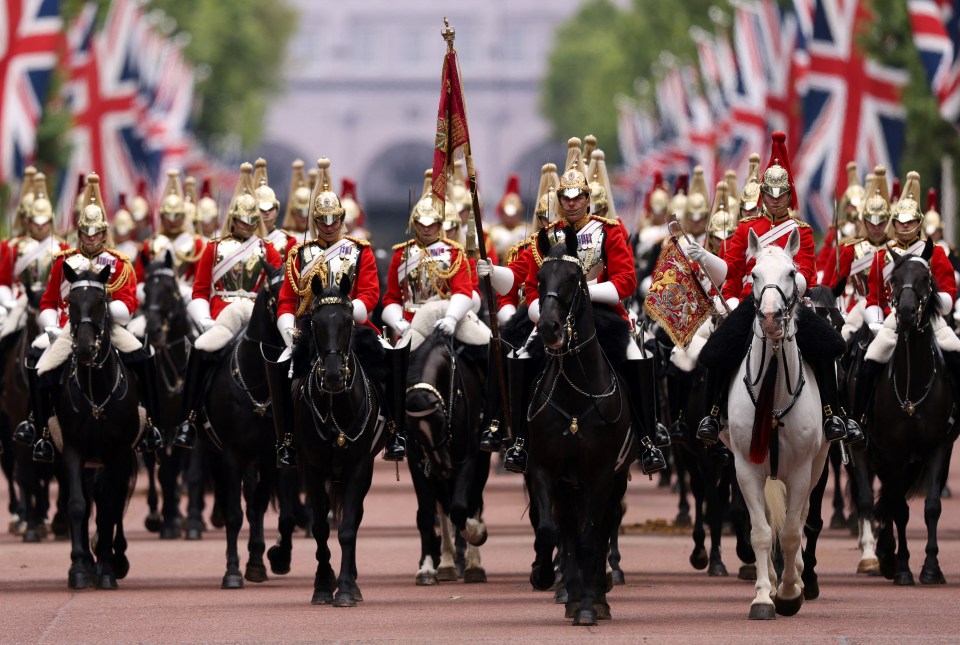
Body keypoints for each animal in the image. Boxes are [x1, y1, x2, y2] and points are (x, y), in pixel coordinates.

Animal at [53, 262, 141, 588]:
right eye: (71, 302)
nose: (85, 349)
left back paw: (115, 558)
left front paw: (105, 567)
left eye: (101, 301)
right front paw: (80, 567)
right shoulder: (71, 450)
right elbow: (78, 505)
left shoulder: (118, 454)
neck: (96, 395)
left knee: (112, 502)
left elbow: (108, 509)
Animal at [278, 276, 386, 604]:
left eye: (349, 321)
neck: (337, 407)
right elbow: (321, 528)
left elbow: (348, 527)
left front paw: (347, 588)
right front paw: (323, 586)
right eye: (315, 322)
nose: (335, 377)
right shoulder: (311, 469)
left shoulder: (357, 467)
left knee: (356, 517)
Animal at [520, 230, 632, 624]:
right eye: (540, 280)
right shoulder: (544, 469)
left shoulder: (601, 473)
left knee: (601, 529)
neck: (575, 394)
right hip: (569, 484)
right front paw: (542, 575)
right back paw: (569, 589)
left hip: (615, 479)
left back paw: (596, 594)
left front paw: (588, 605)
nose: (548, 328)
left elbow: (590, 538)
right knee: (566, 528)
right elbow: (549, 530)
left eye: (573, 279)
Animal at [724, 230, 828, 620]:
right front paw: (763, 597)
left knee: (800, 519)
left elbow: (792, 532)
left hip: (818, 464)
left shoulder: (800, 470)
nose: (770, 318)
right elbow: (762, 531)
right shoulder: (746, 468)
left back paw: (795, 578)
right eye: (754, 274)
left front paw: (788, 593)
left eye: (791, 272)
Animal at [868, 240, 956, 584]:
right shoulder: (892, 451)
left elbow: (931, 506)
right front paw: (904, 567)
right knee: (889, 498)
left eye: (925, 278)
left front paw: (932, 567)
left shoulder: (939, 446)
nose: (905, 314)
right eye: (893, 279)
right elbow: (900, 509)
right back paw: (887, 556)